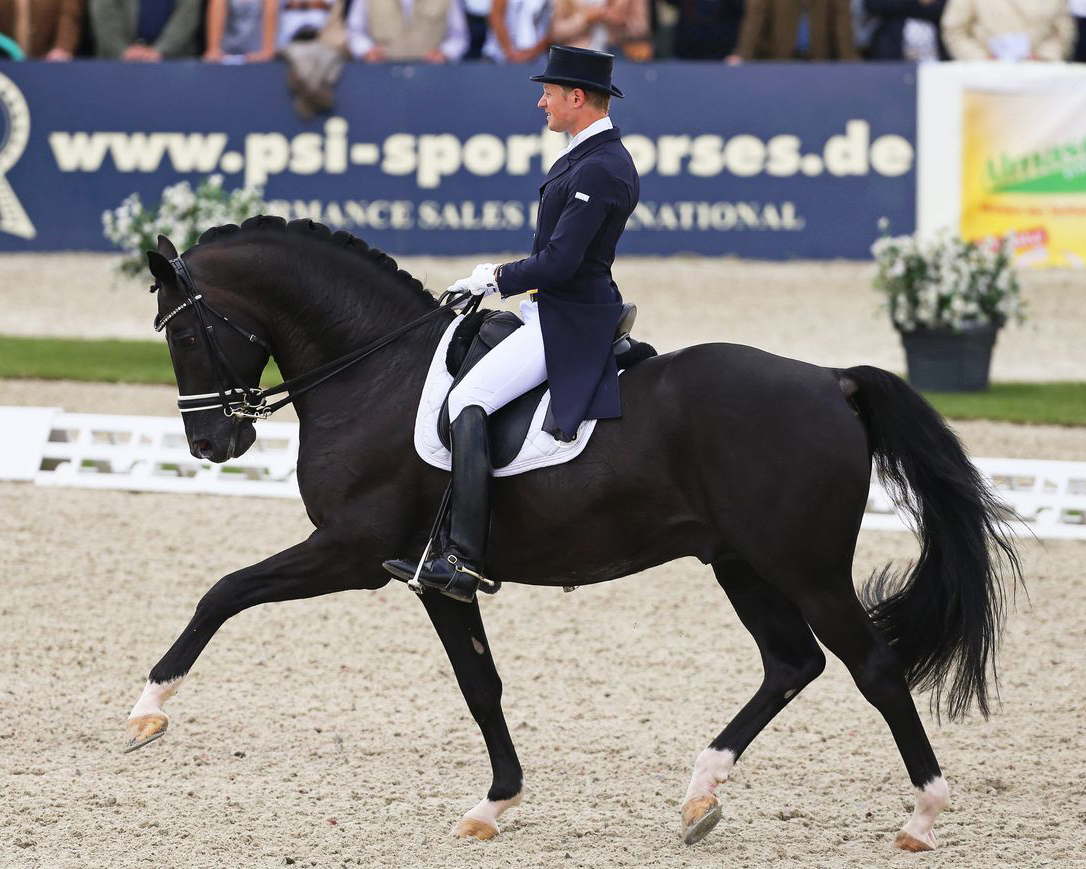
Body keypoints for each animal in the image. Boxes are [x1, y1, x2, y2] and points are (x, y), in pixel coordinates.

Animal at [124, 217, 1016, 847]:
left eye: (183, 332)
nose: (212, 444)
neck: (374, 371)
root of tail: (832, 381)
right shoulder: (433, 575)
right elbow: (481, 685)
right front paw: (495, 803)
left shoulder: (352, 551)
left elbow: (223, 591)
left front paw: (147, 710)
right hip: (742, 562)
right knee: (792, 663)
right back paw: (700, 793)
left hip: (805, 566)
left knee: (874, 666)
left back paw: (922, 816)